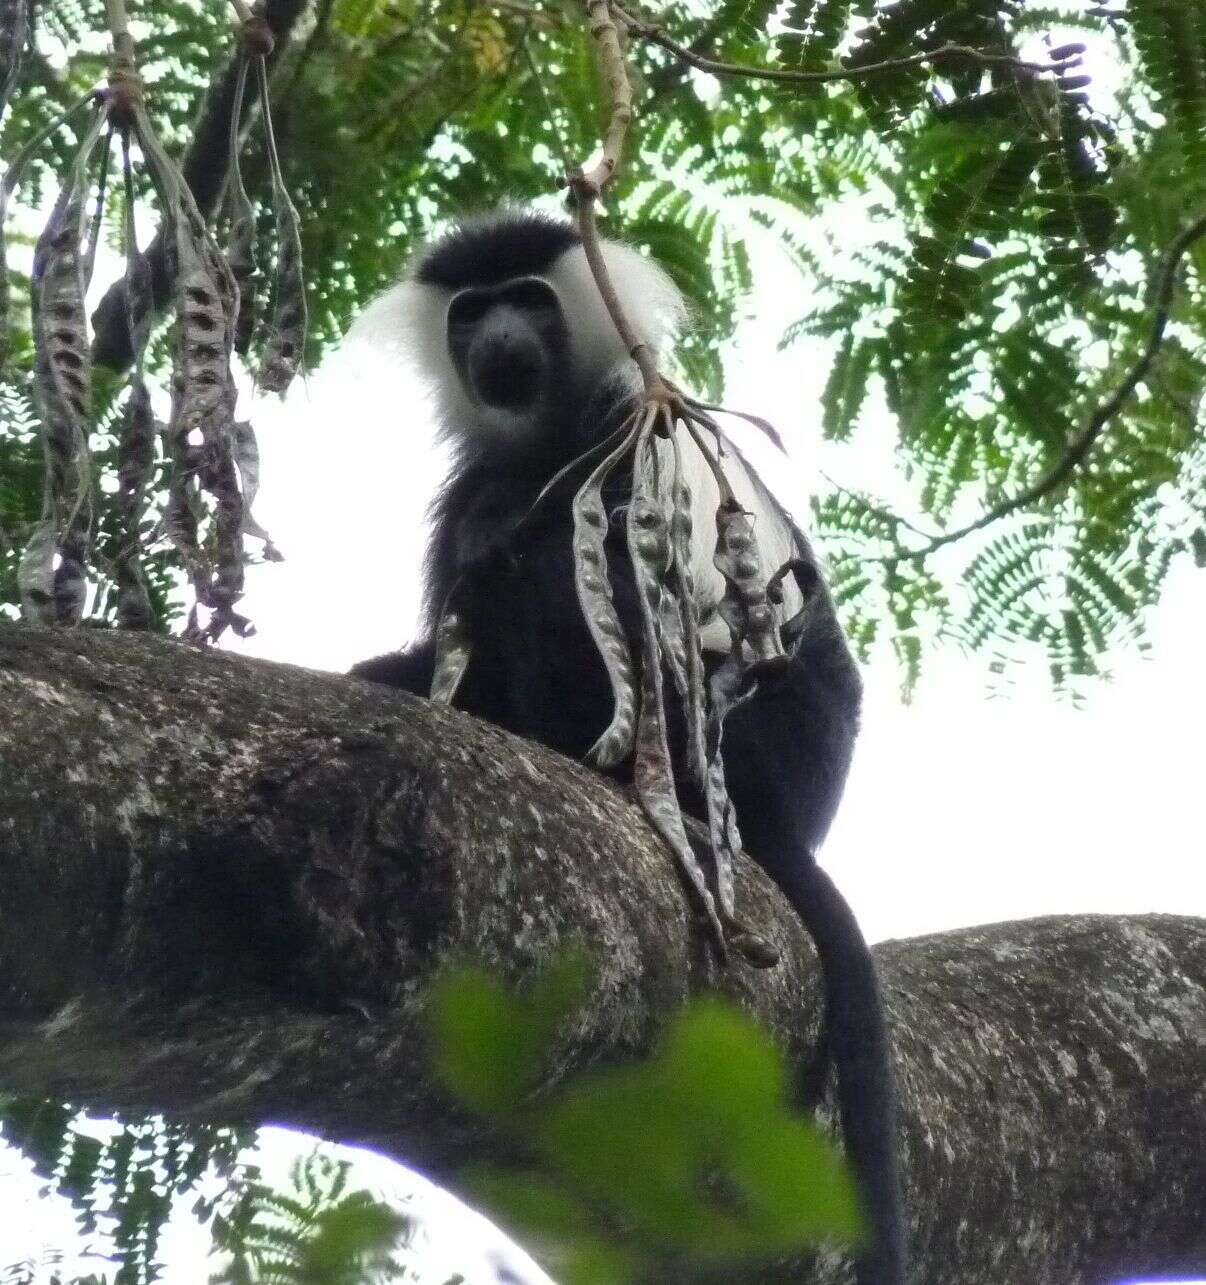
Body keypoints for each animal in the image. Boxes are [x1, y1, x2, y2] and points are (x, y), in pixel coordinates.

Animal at [349, 210, 904, 1285]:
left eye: (531, 300)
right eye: (471, 312)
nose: (497, 343)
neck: (549, 432)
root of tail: (796, 814)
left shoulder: (634, 440)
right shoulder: (471, 481)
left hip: (745, 746)